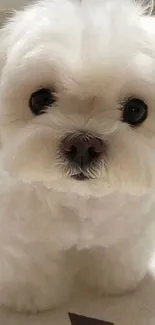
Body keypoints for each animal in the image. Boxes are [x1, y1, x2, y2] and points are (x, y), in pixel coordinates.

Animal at [0, 0, 155, 312]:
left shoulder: (129, 233)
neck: (79, 197)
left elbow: (118, 256)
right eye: (39, 99)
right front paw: (30, 299)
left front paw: (118, 284)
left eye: (136, 110)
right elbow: (29, 267)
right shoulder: (23, 240)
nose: (82, 145)